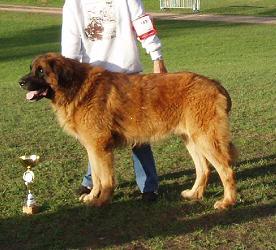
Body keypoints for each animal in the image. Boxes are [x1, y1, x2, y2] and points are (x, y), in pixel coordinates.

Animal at [19, 52, 237, 209]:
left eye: (41, 71)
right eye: (32, 69)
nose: (20, 82)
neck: (76, 87)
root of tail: (215, 84)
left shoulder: (101, 148)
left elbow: (106, 178)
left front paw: (102, 201)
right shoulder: (92, 148)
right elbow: (96, 177)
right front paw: (92, 196)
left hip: (205, 139)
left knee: (225, 170)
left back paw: (227, 202)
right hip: (191, 139)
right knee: (204, 169)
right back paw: (194, 194)